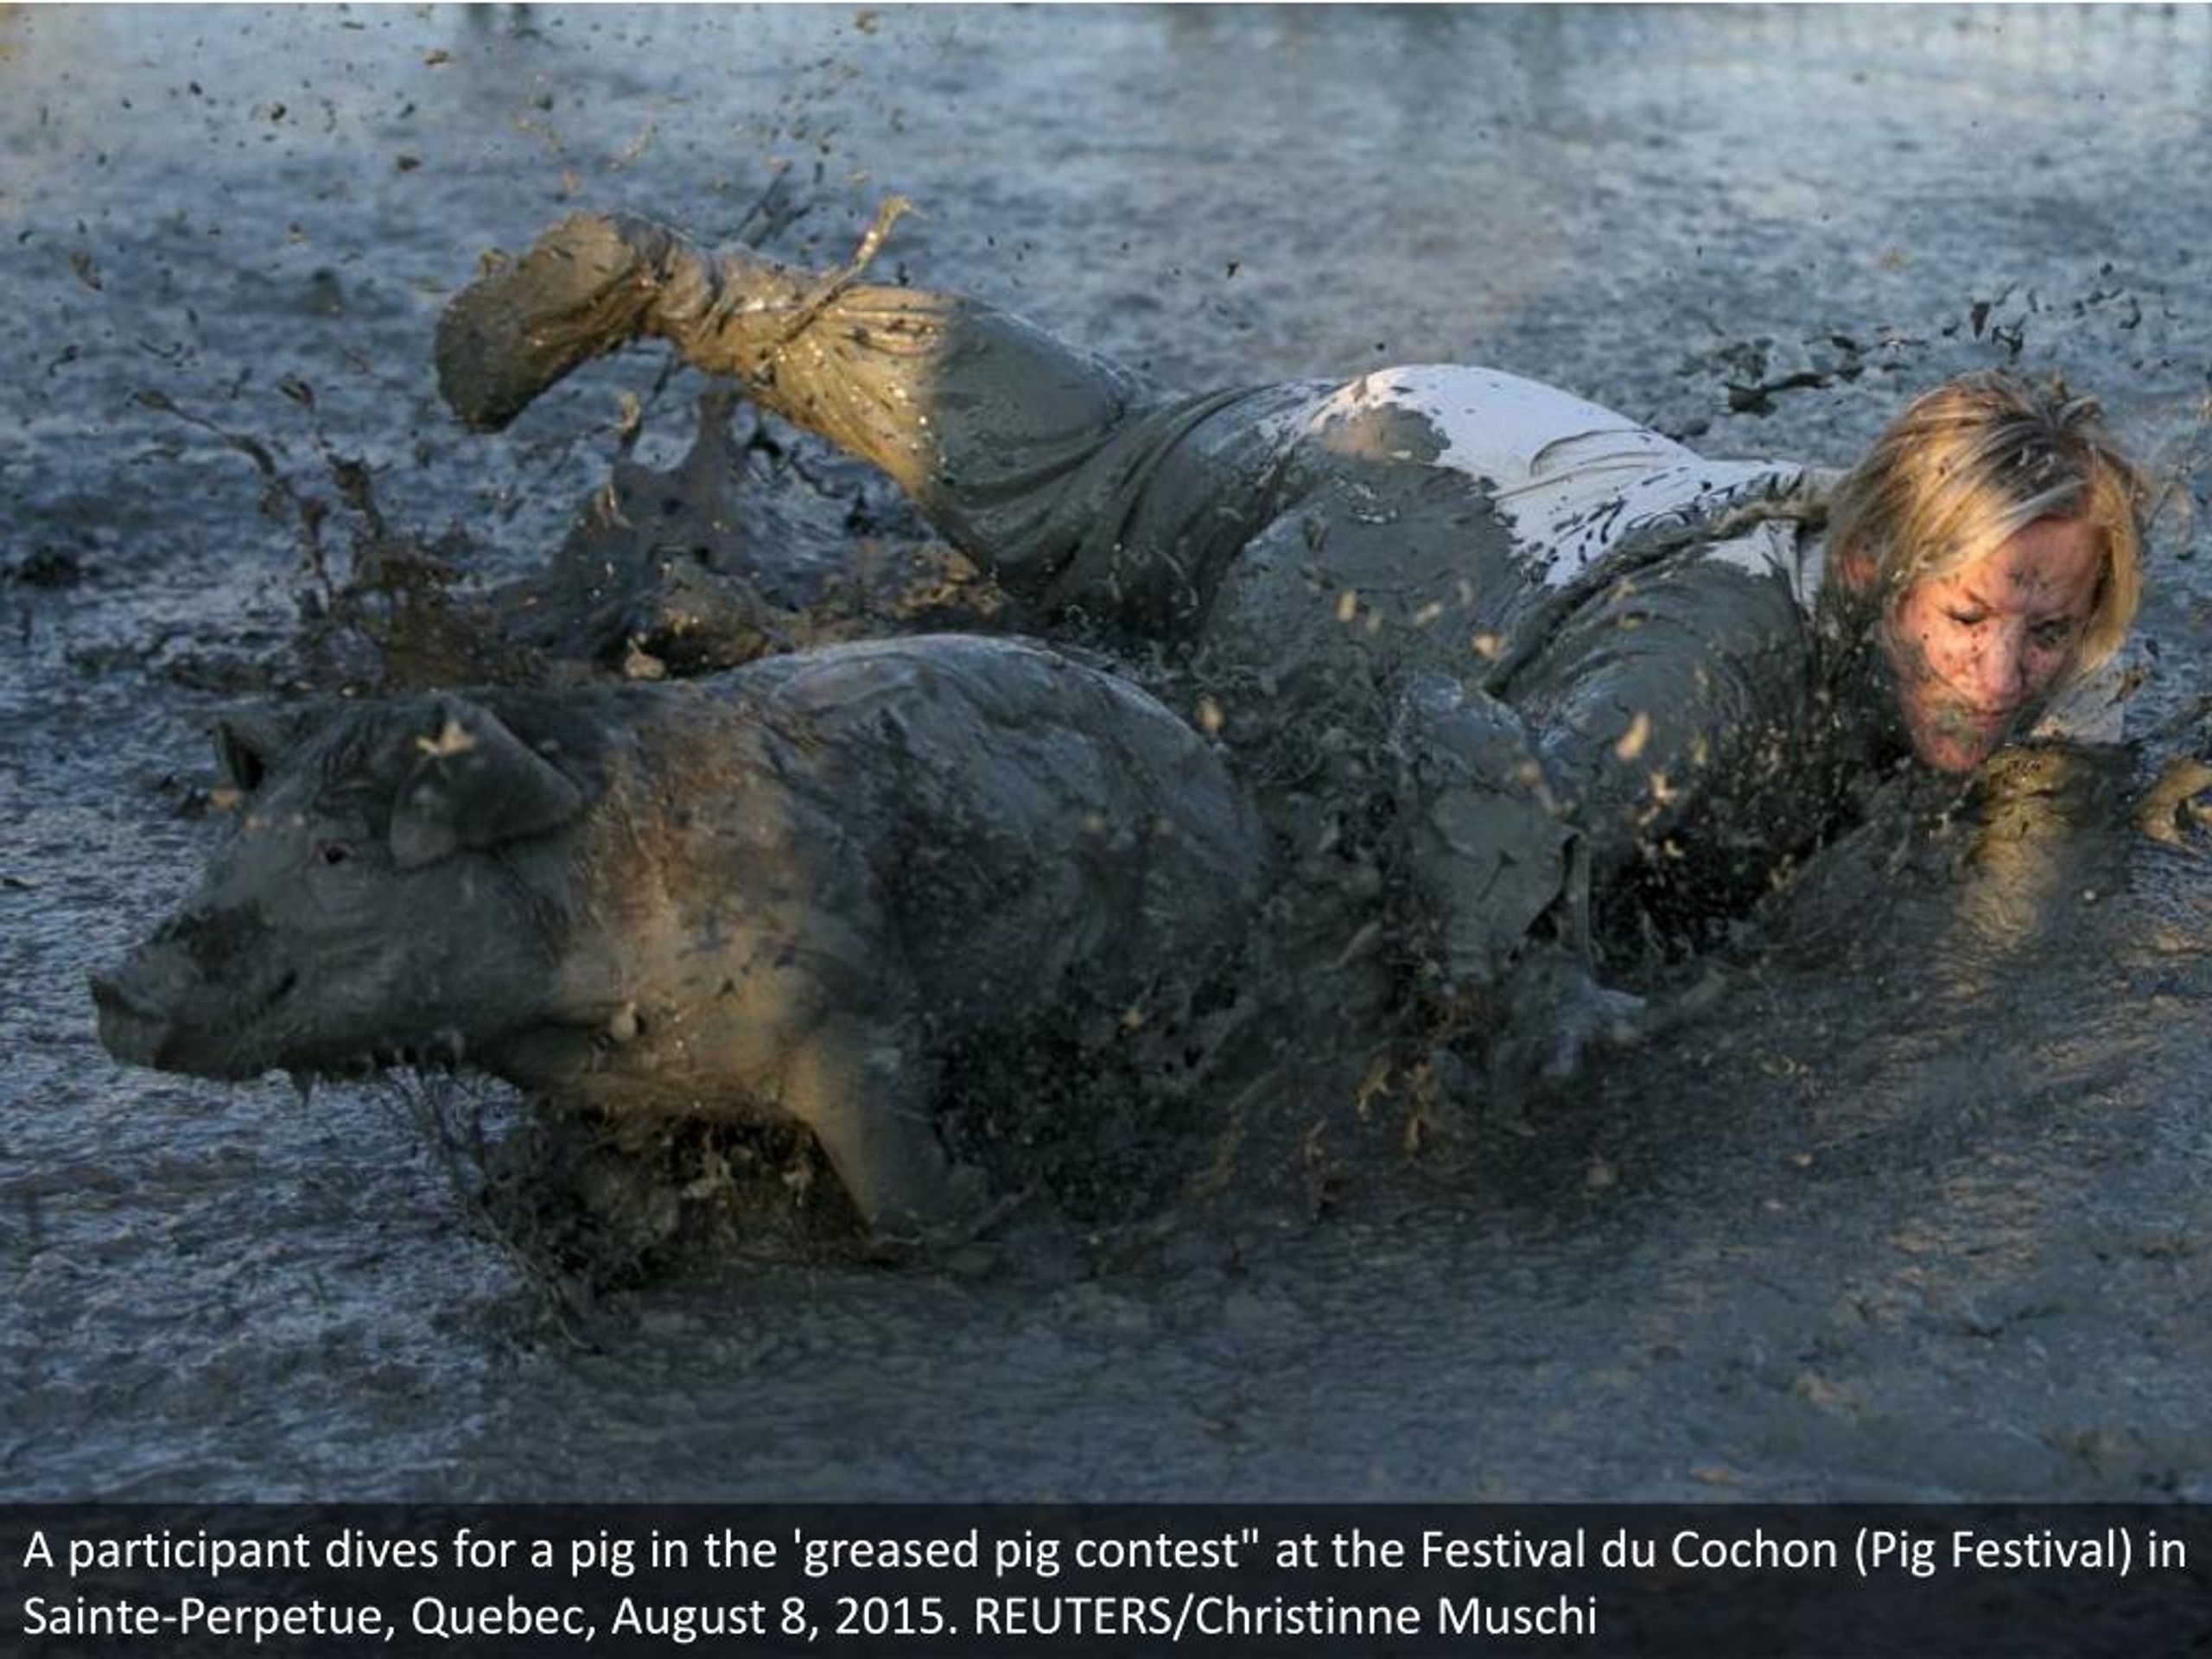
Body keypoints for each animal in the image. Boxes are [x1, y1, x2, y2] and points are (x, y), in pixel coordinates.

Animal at [93, 634, 1270, 1237]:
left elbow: (895, 1188)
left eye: (339, 857)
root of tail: (1231, 789)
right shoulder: (596, 1088)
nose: (115, 988)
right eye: (238, 839)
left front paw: (990, 1208)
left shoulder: (850, 995)